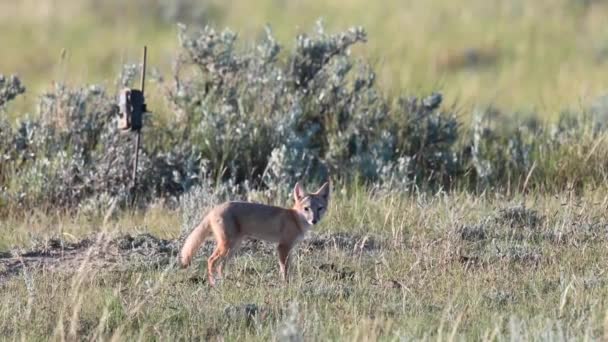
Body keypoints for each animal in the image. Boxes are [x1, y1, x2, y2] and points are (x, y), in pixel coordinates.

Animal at [179, 182, 330, 286]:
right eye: (306, 209)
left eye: (319, 208)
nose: (314, 220)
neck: (294, 218)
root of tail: (214, 209)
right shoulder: (283, 247)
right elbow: (284, 269)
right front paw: (286, 285)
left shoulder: (289, 248)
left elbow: (288, 267)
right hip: (227, 246)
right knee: (211, 260)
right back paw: (213, 284)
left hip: (233, 248)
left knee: (221, 265)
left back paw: (225, 282)